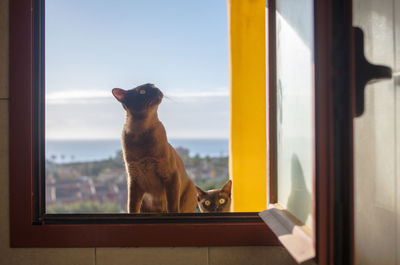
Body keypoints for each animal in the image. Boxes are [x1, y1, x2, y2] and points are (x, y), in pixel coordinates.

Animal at [111, 83, 198, 212]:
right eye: (142, 91)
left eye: (152, 86)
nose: (156, 89)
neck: (141, 131)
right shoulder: (134, 181)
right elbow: (131, 207)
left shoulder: (170, 176)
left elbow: (172, 207)